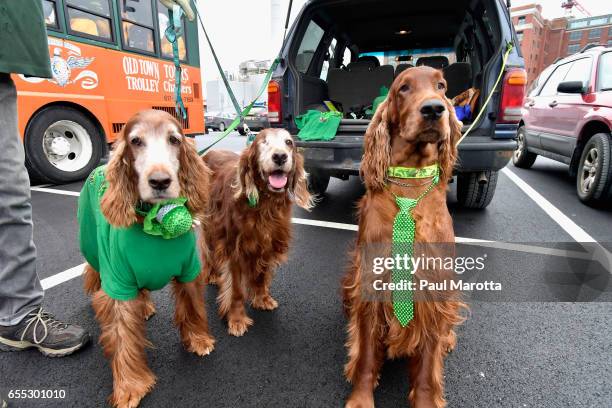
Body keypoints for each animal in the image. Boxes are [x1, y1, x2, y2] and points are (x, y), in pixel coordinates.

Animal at [78, 111, 215, 408]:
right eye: (136, 141)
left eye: (174, 140)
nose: (160, 181)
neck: (154, 222)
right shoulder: (118, 286)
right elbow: (124, 339)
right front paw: (129, 387)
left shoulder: (189, 271)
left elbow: (193, 307)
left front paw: (198, 340)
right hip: (91, 244)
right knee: (94, 272)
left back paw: (145, 306)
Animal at [203, 129, 314, 336]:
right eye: (263, 142)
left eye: (289, 142)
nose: (280, 156)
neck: (265, 204)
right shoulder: (234, 250)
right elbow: (236, 290)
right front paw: (237, 320)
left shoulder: (267, 245)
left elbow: (261, 276)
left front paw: (262, 299)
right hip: (210, 227)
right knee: (207, 252)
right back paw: (212, 275)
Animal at [342, 67, 466, 408]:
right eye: (404, 88)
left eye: (441, 86)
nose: (434, 109)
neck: (409, 186)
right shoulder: (372, 280)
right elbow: (366, 355)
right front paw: (361, 398)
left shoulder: (432, 287)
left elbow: (426, 367)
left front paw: (425, 401)